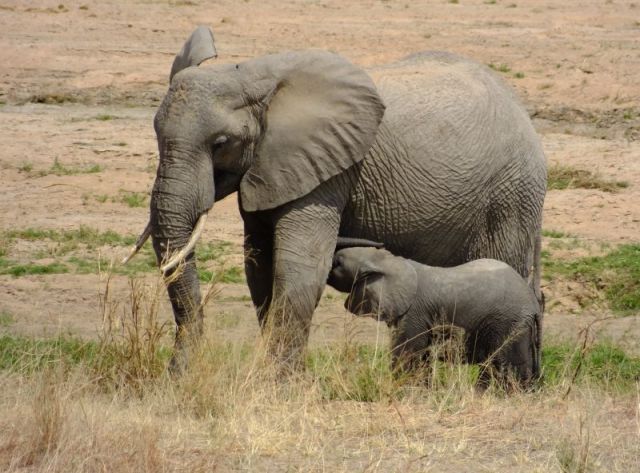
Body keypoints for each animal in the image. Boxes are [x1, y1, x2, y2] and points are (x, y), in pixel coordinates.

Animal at [125, 26, 546, 372]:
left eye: (221, 143)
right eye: (156, 134)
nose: (178, 373)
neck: (252, 76)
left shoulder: (328, 171)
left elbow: (298, 267)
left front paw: (278, 382)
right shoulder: (271, 168)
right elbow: (259, 267)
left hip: (510, 196)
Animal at [327, 246, 542, 387]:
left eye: (338, 263)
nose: (330, 263)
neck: (392, 262)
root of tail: (533, 303)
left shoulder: (414, 313)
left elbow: (407, 353)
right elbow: (421, 357)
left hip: (509, 323)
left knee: (507, 364)